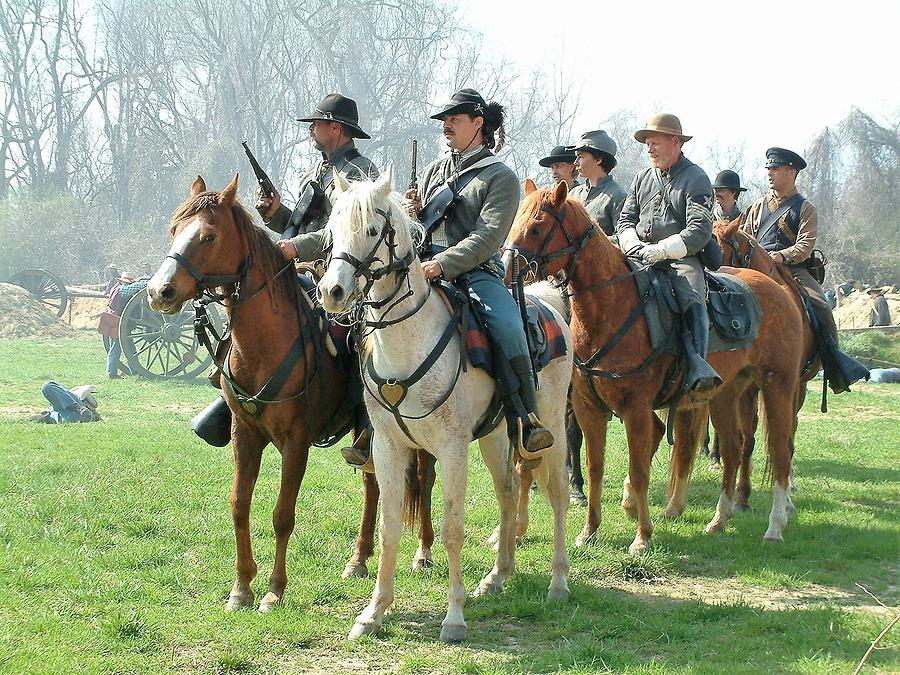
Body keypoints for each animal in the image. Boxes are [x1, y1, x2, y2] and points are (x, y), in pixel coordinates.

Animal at [146, 174, 434, 612]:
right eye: (174, 230)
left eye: (209, 235)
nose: (158, 291)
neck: (265, 346)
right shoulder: (245, 436)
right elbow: (239, 505)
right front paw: (241, 588)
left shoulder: (296, 443)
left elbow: (283, 514)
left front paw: (273, 590)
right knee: (372, 484)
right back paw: (358, 559)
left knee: (423, 477)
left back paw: (423, 552)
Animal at [320, 169, 572, 644]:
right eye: (332, 229)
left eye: (372, 230)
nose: (332, 291)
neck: (407, 343)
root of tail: (545, 302)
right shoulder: (388, 448)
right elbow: (389, 527)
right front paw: (374, 612)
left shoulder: (453, 450)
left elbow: (453, 527)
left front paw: (454, 617)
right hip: (495, 434)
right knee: (508, 490)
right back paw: (498, 576)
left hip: (552, 429)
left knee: (558, 495)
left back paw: (559, 582)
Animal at [506, 181, 808, 556]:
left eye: (536, 227)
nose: (505, 268)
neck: (613, 308)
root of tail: (780, 292)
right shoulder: (590, 410)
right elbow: (595, 467)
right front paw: (589, 530)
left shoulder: (635, 410)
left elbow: (639, 471)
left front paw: (642, 536)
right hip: (726, 394)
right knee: (733, 449)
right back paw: (719, 519)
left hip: (777, 387)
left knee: (781, 451)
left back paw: (775, 525)